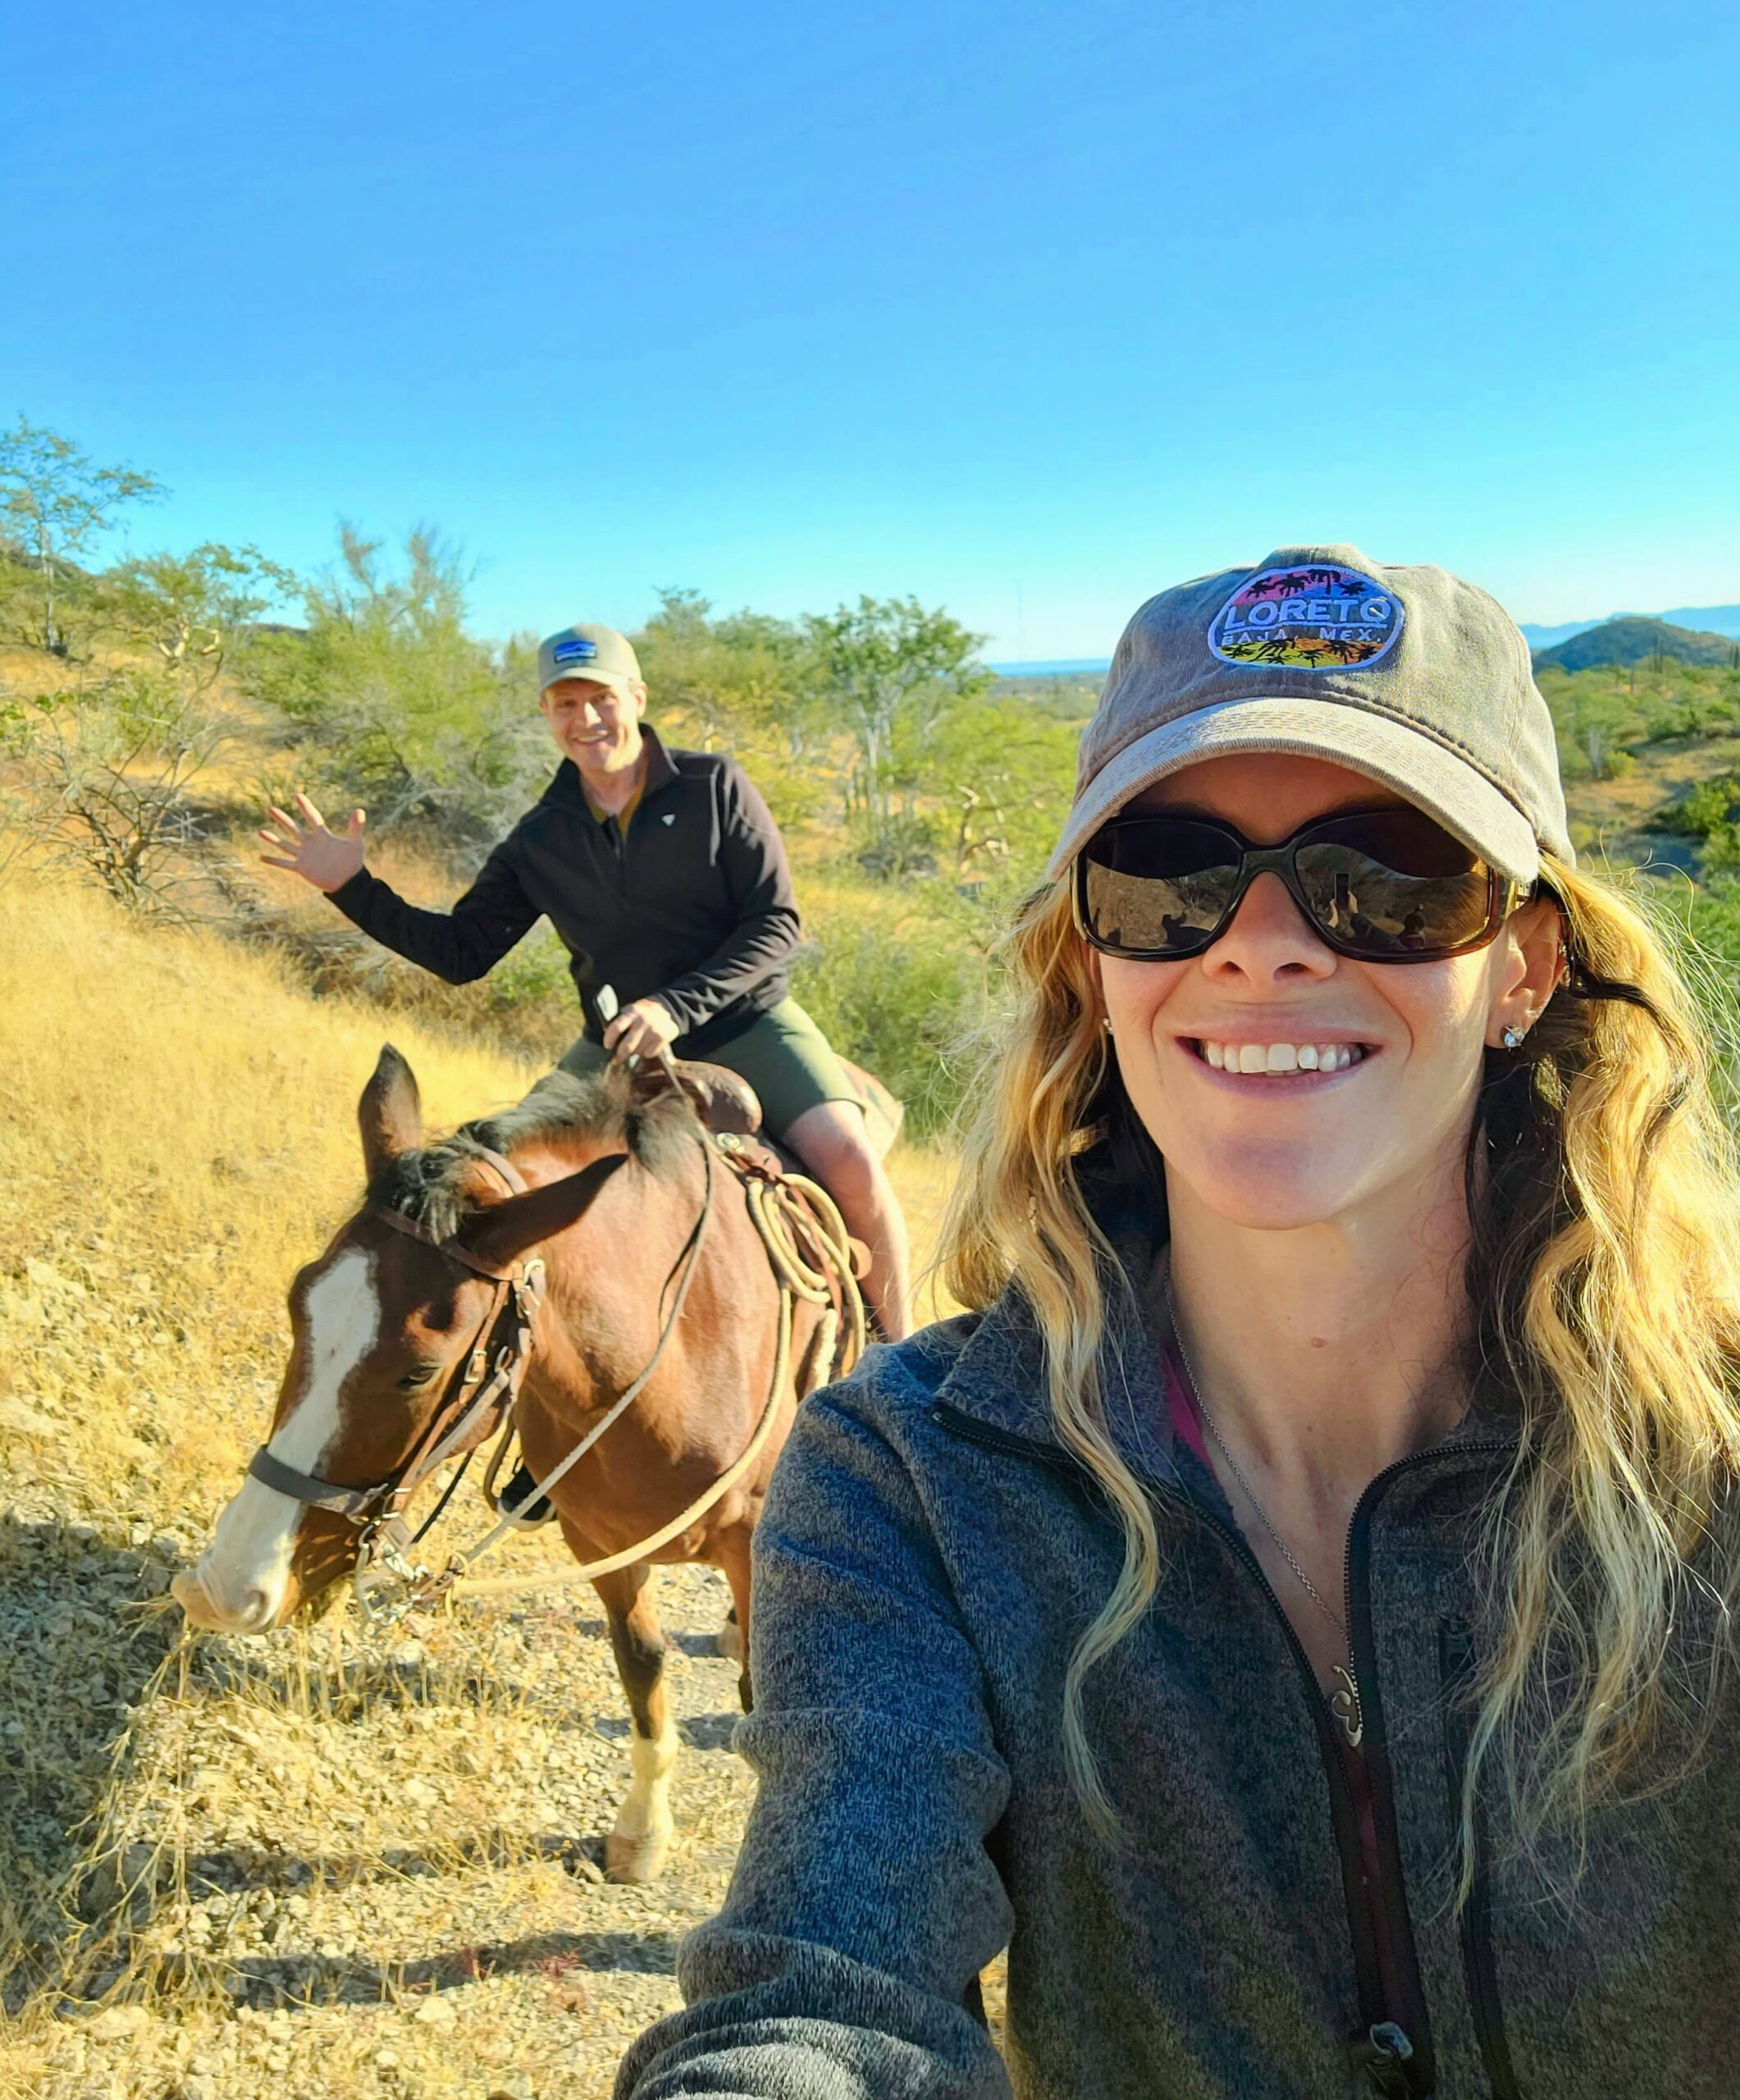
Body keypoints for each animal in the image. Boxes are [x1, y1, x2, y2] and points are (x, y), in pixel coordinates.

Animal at [173, 1050, 852, 1890]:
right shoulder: (599, 1545)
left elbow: (764, 1694)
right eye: (299, 1303)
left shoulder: (750, 1545)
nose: (223, 1590)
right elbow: (641, 1665)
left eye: (418, 1371)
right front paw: (642, 1831)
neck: (676, 1360)